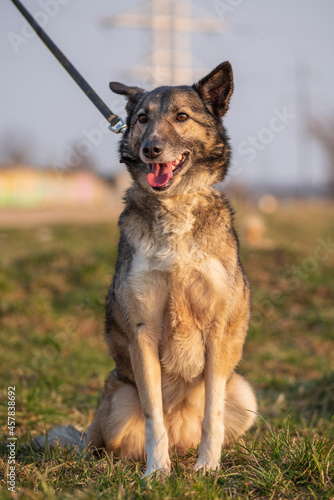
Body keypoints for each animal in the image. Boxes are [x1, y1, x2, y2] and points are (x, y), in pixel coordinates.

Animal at [87, 60, 258, 474]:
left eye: (181, 117)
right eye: (142, 119)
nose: (151, 149)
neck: (175, 207)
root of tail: (183, 440)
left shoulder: (216, 331)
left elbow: (212, 414)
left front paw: (207, 468)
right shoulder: (142, 332)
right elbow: (153, 415)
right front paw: (157, 472)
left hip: (244, 393)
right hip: (117, 401)